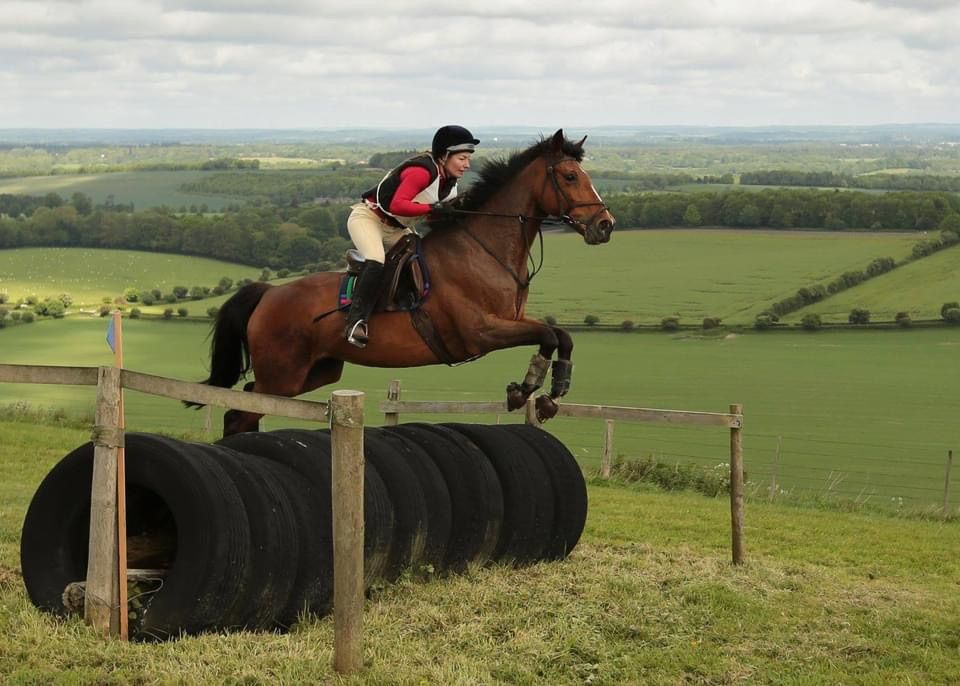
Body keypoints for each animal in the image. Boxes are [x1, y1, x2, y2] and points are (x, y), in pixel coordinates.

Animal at [195, 129, 616, 436]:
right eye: (570, 177)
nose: (605, 225)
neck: (483, 250)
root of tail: (268, 294)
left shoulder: (510, 322)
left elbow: (561, 335)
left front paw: (550, 395)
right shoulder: (481, 331)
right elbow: (547, 334)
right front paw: (525, 390)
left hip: (313, 372)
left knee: (248, 401)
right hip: (282, 373)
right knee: (240, 414)